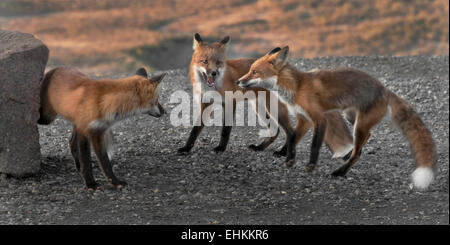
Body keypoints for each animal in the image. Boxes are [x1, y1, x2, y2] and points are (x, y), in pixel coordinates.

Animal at [37, 67, 167, 189]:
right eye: (156, 100)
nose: (165, 112)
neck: (104, 103)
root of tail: (55, 69)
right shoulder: (85, 130)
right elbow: (86, 160)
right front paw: (90, 184)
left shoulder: (98, 131)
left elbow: (105, 162)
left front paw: (114, 181)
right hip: (47, 118)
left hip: (74, 122)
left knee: (71, 141)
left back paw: (78, 166)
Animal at [178, 33, 354, 160]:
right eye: (205, 61)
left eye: (219, 62)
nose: (213, 73)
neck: (212, 87)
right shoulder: (204, 104)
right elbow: (194, 130)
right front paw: (186, 148)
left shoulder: (230, 103)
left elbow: (225, 131)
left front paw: (221, 148)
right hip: (260, 108)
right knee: (275, 131)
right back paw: (260, 147)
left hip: (275, 110)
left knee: (290, 132)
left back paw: (282, 152)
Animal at [237, 45, 438, 189]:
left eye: (254, 72)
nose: (239, 81)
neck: (296, 87)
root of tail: (384, 89)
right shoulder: (303, 119)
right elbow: (293, 138)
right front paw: (289, 159)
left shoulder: (319, 118)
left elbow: (314, 145)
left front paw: (310, 165)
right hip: (352, 117)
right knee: (366, 137)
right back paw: (347, 156)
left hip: (359, 124)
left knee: (358, 152)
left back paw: (340, 172)